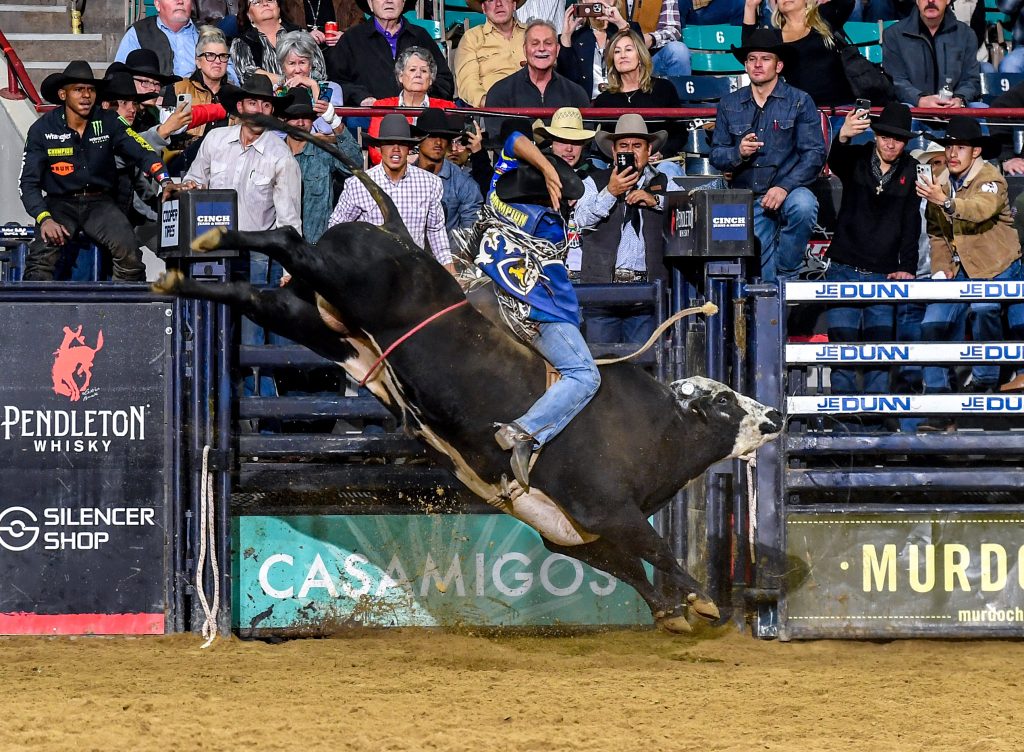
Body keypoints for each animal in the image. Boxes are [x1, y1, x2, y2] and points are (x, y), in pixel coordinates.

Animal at [154, 122, 782, 632]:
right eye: (724, 403)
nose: (775, 415)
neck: (659, 430)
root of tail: (401, 236)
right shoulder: (611, 509)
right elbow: (657, 550)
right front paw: (700, 600)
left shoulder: (572, 532)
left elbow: (630, 566)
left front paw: (670, 611)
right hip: (344, 278)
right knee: (286, 239)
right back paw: (207, 243)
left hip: (316, 320)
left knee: (253, 293)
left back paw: (185, 271)